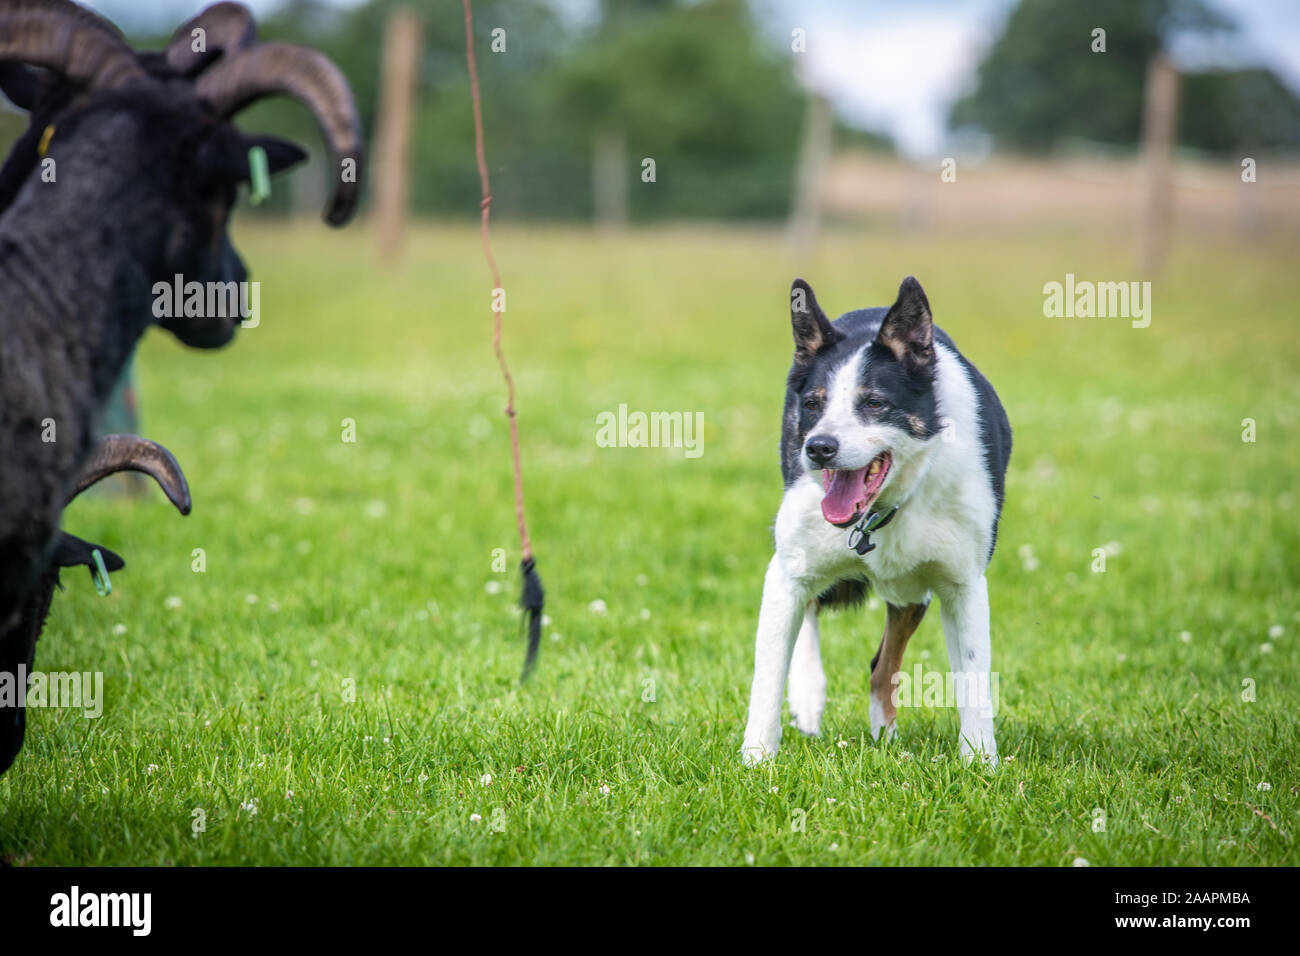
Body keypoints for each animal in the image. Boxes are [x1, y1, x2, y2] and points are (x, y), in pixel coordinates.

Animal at [743, 274, 1013, 764]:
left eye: (873, 403)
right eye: (812, 404)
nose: (819, 448)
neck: (880, 513)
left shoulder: (961, 582)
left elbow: (972, 677)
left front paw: (981, 764)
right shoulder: (787, 571)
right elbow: (767, 677)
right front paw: (755, 760)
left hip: (911, 592)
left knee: (881, 667)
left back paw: (884, 737)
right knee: (812, 613)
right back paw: (809, 697)